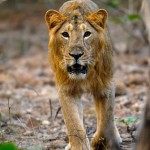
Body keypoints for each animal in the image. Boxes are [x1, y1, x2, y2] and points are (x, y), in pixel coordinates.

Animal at [44, 0, 122, 149]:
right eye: (65, 34)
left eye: (87, 34)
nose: (76, 55)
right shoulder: (66, 90)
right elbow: (73, 123)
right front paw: (79, 145)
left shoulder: (105, 86)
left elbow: (106, 119)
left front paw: (98, 142)